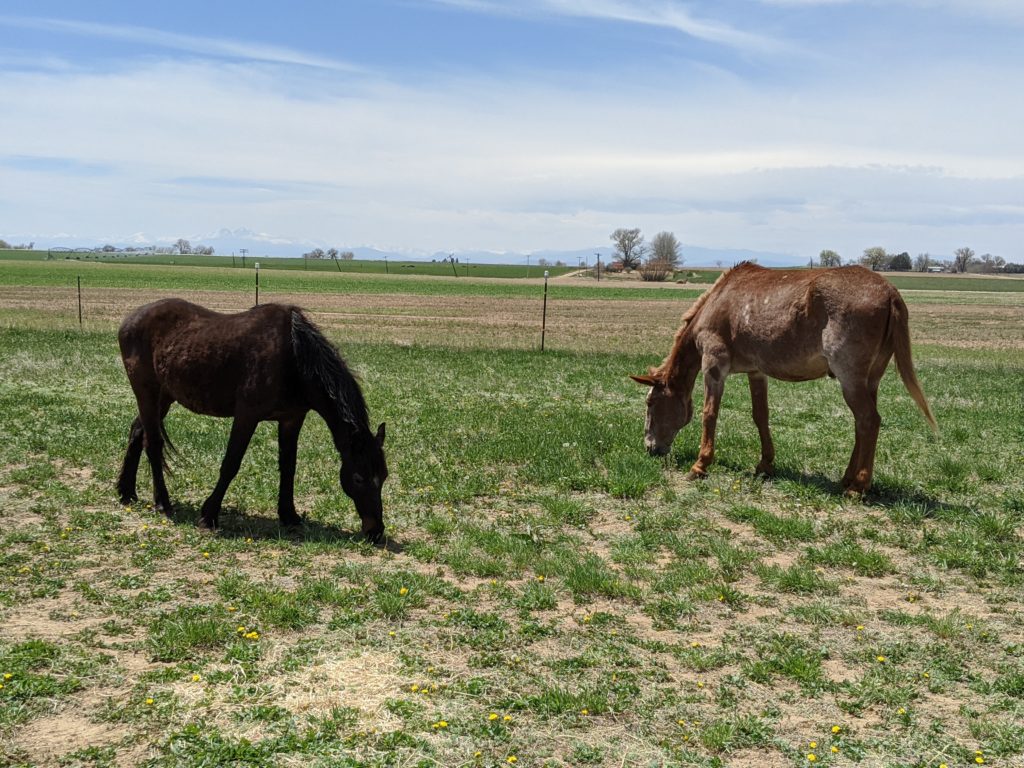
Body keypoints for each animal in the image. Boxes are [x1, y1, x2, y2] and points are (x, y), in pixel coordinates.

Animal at [117, 296, 387, 536]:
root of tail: (130, 319)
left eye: (383, 476)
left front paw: (289, 515)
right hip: (147, 393)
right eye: (358, 478)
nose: (376, 530)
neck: (293, 358)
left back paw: (126, 492)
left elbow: (288, 467)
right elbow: (231, 464)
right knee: (152, 444)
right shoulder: (247, 416)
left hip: (164, 397)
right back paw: (162, 503)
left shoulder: (291, 419)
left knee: (137, 432)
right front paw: (209, 515)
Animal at [630, 264, 937, 493]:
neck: (718, 302)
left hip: (850, 378)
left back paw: (858, 486)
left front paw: (700, 465)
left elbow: (709, 414)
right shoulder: (756, 372)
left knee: (869, 421)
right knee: (861, 424)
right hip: (870, 379)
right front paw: (765, 465)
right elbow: (760, 416)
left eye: (650, 404)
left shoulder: (714, 365)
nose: (650, 448)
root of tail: (890, 292)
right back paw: (848, 477)